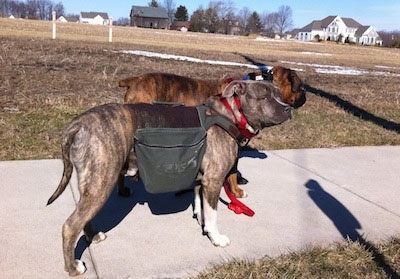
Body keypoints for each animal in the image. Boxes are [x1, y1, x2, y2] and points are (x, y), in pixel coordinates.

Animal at [47, 80, 290, 276]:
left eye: (279, 94)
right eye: (265, 97)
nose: (288, 108)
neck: (230, 114)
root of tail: (77, 124)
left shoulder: (201, 180)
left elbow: (199, 203)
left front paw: (201, 222)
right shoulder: (213, 181)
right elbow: (213, 214)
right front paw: (216, 237)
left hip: (92, 184)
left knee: (82, 218)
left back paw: (93, 236)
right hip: (101, 183)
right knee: (70, 226)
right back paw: (73, 267)